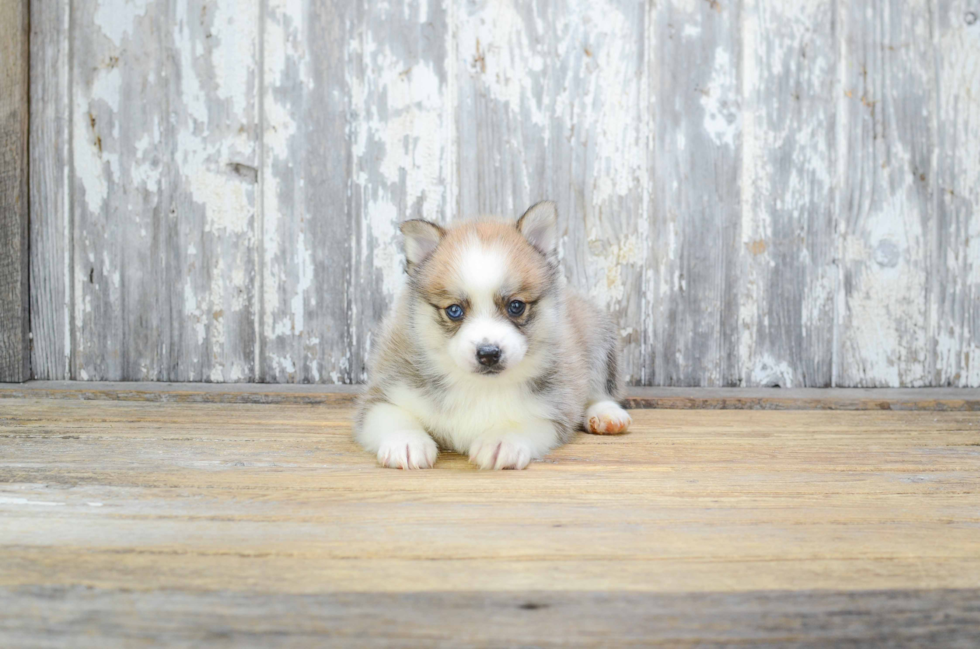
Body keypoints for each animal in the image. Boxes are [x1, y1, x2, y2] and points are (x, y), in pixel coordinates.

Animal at [356, 200, 632, 468]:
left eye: (516, 306)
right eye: (454, 310)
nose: (488, 354)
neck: (478, 387)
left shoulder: (553, 410)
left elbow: (524, 422)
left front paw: (502, 440)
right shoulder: (382, 394)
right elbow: (392, 415)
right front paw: (405, 441)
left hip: (598, 340)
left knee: (600, 390)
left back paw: (606, 415)